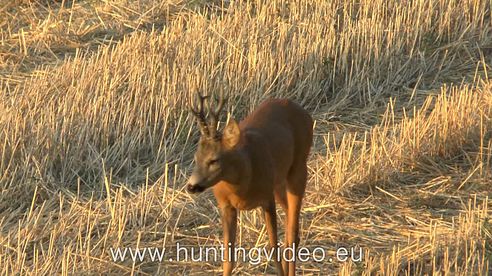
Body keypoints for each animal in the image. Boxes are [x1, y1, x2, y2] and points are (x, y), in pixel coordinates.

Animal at [186, 91, 314, 276]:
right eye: (196, 158)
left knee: (292, 232)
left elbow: (273, 249)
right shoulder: (225, 205)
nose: (191, 186)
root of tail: (303, 111)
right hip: (278, 183)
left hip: (298, 168)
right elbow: (228, 258)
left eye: (213, 160)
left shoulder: (267, 199)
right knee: (291, 227)